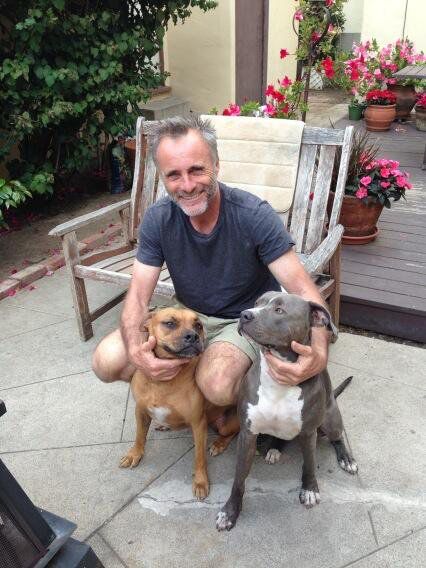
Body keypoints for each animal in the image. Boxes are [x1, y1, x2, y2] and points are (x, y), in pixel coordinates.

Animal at [120, 308, 240, 500]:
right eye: (170, 323)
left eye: (198, 325)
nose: (193, 336)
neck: (162, 382)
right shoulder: (141, 411)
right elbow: (140, 436)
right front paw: (135, 454)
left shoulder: (198, 424)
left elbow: (199, 457)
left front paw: (200, 482)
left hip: (227, 424)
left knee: (231, 433)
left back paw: (219, 444)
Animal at [216, 292, 356, 532]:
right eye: (257, 303)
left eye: (279, 310)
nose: (244, 314)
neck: (278, 381)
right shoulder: (248, 434)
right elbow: (238, 479)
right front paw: (230, 512)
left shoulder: (308, 432)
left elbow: (309, 464)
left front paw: (309, 490)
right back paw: (275, 448)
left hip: (329, 419)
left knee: (337, 437)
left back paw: (346, 458)